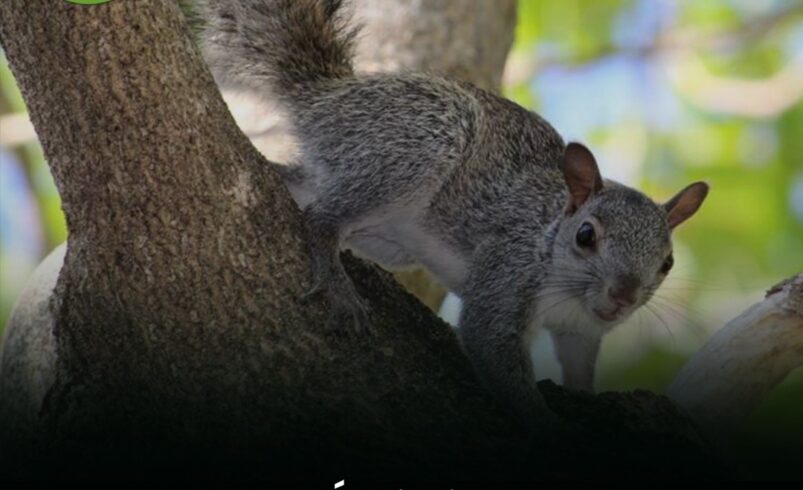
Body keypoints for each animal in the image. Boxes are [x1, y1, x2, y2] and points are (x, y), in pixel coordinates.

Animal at [198, 0, 709, 429]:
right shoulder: (508, 271)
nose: (623, 296)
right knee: (323, 217)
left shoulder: (580, 332)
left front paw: (587, 399)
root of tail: (328, 97)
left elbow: (579, 369)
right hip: (422, 141)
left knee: (305, 184)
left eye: (667, 262)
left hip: (385, 228)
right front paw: (549, 426)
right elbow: (491, 347)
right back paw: (335, 278)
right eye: (586, 236)